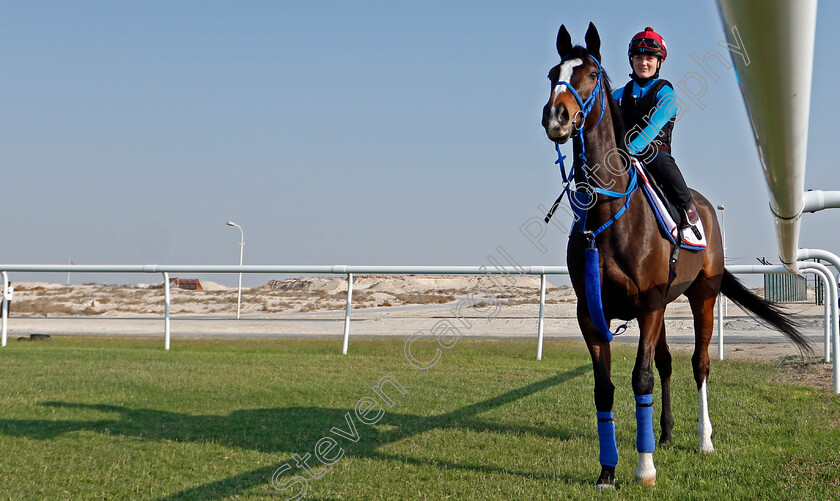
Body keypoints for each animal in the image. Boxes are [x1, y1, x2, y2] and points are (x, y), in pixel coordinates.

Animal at [540, 22, 812, 488]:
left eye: (590, 73)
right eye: (552, 73)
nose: (556, 117)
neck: (608, 215)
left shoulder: (648, 305)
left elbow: (641, 377)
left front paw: (644, 468)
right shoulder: (592, 313)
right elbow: (605, 388)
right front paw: (608, 469)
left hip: (701, 296)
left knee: (698, 365)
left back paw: (703, 440)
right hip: (666, 306)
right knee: (667, 363)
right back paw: (665, 434)